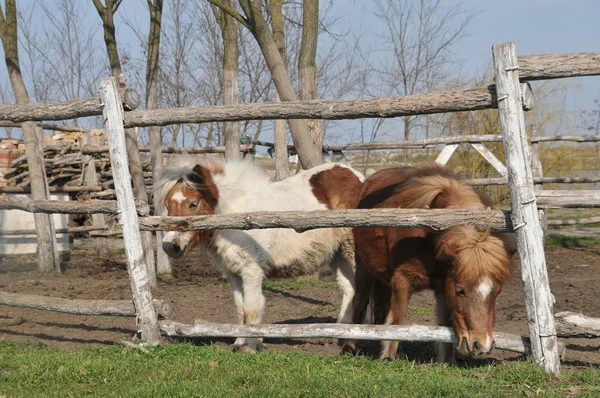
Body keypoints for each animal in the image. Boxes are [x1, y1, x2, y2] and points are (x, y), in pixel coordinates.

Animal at [155, 155, 364, 352]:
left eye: (193, 203)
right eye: (167, 204)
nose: (170, 246)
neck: (234, 214)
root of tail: (358, 177)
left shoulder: (252, 270)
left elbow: (252, 308)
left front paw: (251, 346)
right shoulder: (233, 273)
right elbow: (241, 309)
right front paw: (239, 342)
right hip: (338, 256)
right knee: (350, 290)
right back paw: (343, 335)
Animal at [342, 163, 516, 362]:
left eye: (497, 292)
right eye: (461, 291)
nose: (481, 345)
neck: (429, 237)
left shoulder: (443, 286)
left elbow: (444, 322)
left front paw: (446, 361)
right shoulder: (402, 280)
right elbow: (398, 320)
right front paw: (388, 357)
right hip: (363, 266)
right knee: (360, 300)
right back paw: (349, 346)